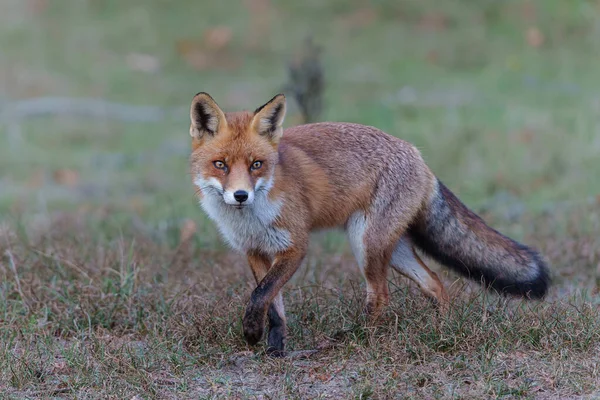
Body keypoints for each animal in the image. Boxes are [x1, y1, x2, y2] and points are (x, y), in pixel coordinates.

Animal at [190, 92, 552, 354]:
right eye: (220, 164)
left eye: (257, 164)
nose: (240, 195)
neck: (250, 219)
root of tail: (418, 156)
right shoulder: (255, 250)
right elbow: (272, 304)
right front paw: (274, 349)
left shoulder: (294, 247)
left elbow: (261, 295)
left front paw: (253, 334)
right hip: (392, 249)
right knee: (435, 283)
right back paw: (443, 330)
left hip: (366, 244)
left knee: (381, 295)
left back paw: (358, 338)